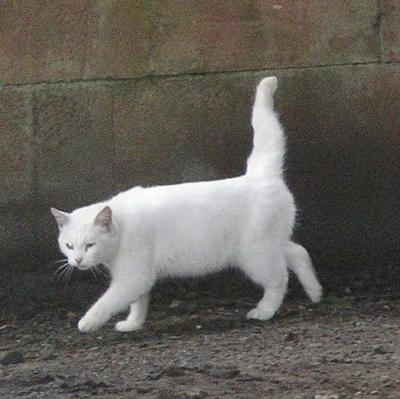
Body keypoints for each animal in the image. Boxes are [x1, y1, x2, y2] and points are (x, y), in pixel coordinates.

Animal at [51, 76, 324, 332]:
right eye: (68, 245)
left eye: (90, 245)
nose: (77, 261)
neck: (121, 230)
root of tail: (261, 175)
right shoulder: (138, 277)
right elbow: (139, 302)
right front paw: (132, 324)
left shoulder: (133, 276)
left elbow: (108, 301)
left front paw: (88, 322)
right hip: (270, 245)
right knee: (298, 252)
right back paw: (315, 292)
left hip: (256, 255)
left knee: (279, 278)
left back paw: (265, 311)